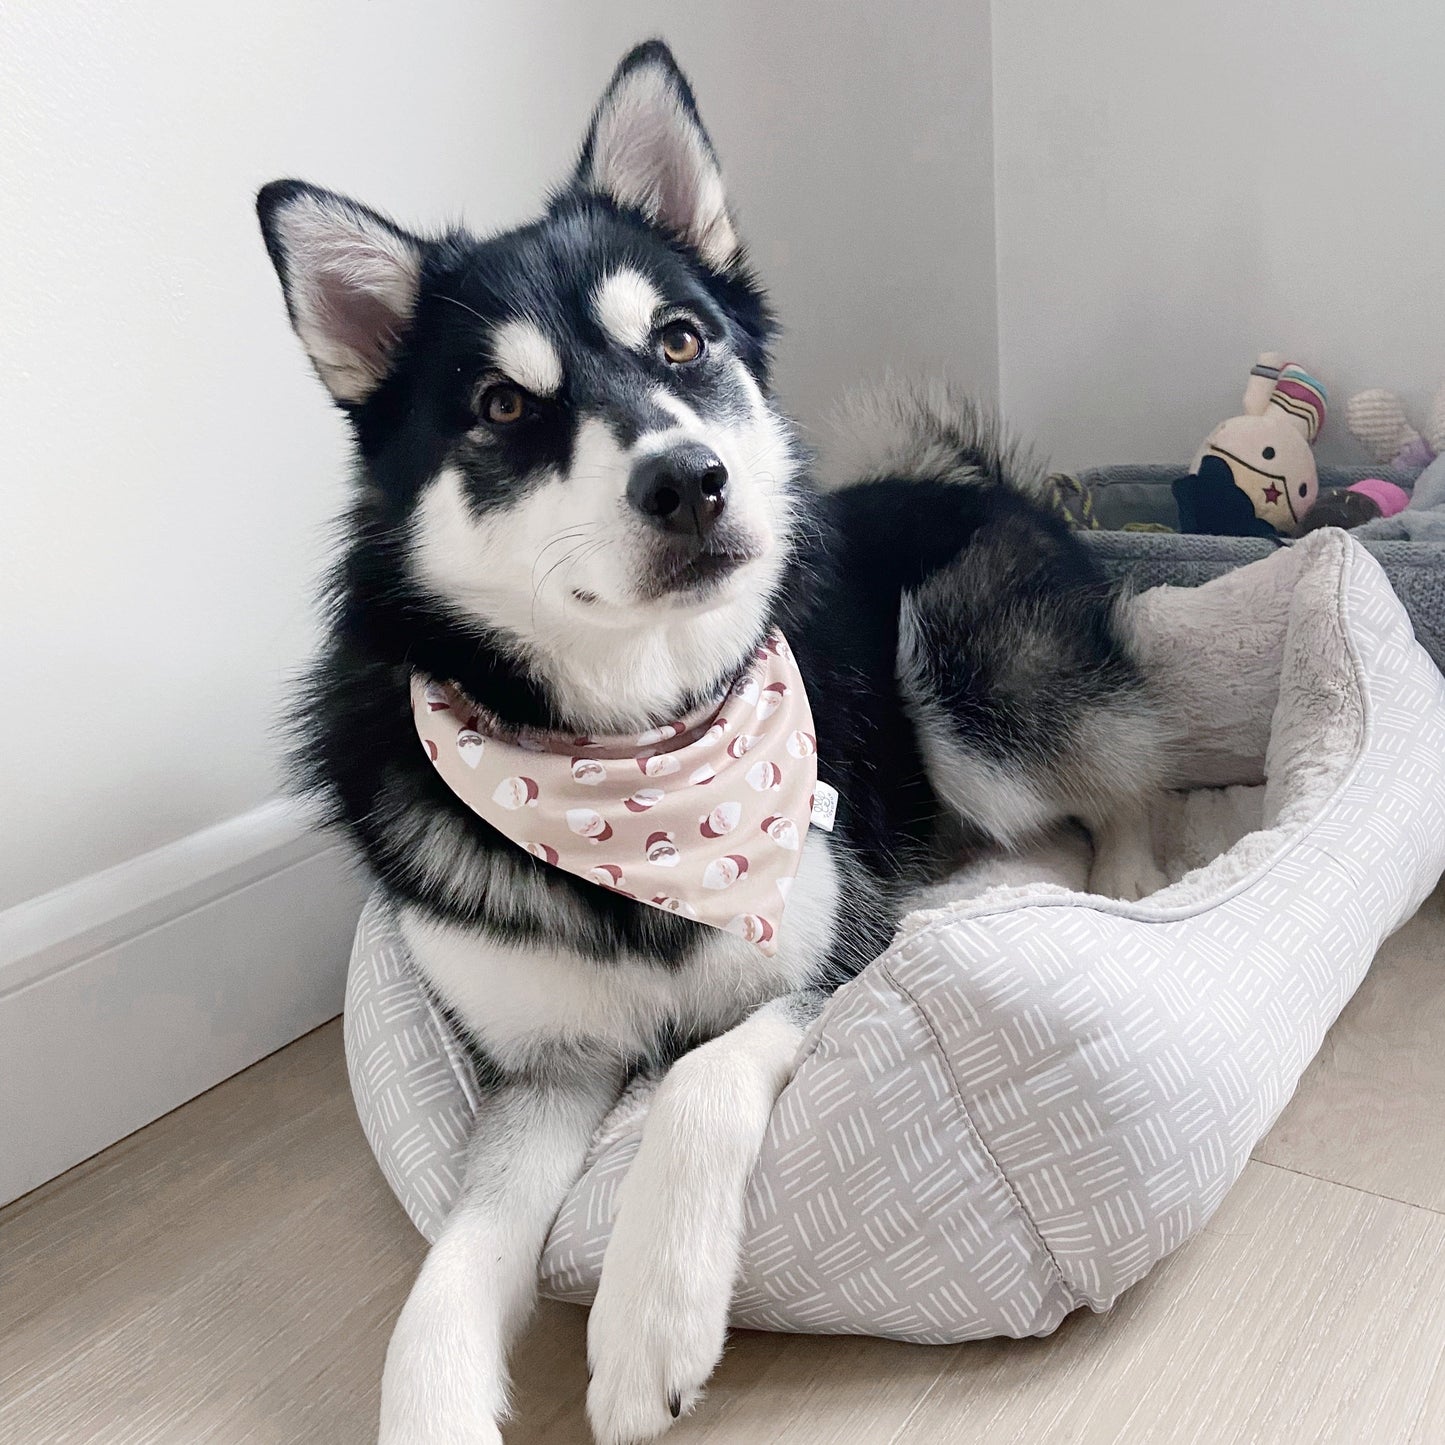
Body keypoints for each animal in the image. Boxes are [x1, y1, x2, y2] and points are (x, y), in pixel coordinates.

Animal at [257, 36, 1161, 1445]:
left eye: (679, 340)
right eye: (501, 404)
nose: (687, 480)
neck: (637, 754)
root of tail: (986, 480)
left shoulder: (832, 953)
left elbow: (700, 1072)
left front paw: (647, 1322)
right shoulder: (546, 1068)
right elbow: (450, 1259)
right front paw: (437, 1392)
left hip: (975, 690)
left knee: (1120, 780)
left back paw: (1121, 878)